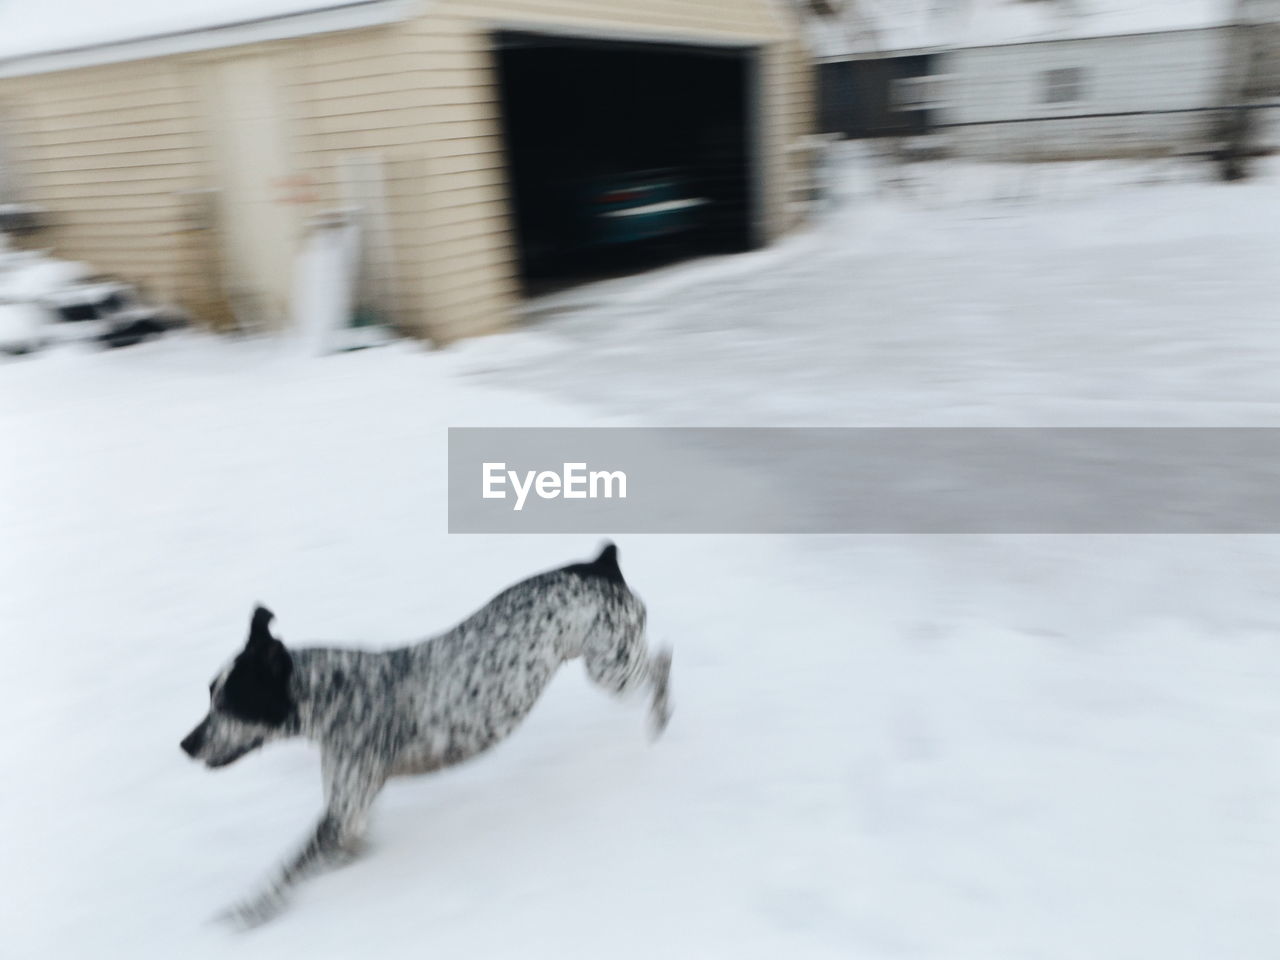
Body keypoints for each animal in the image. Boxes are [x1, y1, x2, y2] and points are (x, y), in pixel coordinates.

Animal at [184, 545, 675, 926]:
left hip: (610, 669)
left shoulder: (340, 817)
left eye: (229, 704)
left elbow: (284, 870)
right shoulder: (350, 819)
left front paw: (248, 911)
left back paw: (660, 715)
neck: (334, 693)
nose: (185, 745)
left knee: (662, 662)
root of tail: (600, 564)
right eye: (209, 693)